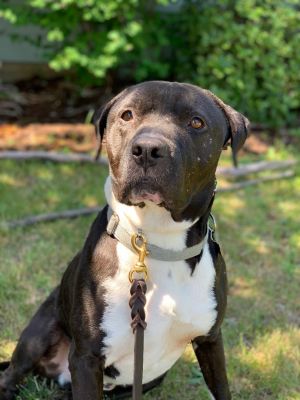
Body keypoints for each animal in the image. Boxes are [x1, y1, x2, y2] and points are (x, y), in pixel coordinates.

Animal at [0, 81, 248, 400]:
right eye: (127, 115)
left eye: (196, 122)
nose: (148, 150)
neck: (156, 243)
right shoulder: (87, 358)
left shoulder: (210, 341)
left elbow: (221, 388)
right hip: (39, 334)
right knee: (11, 375)